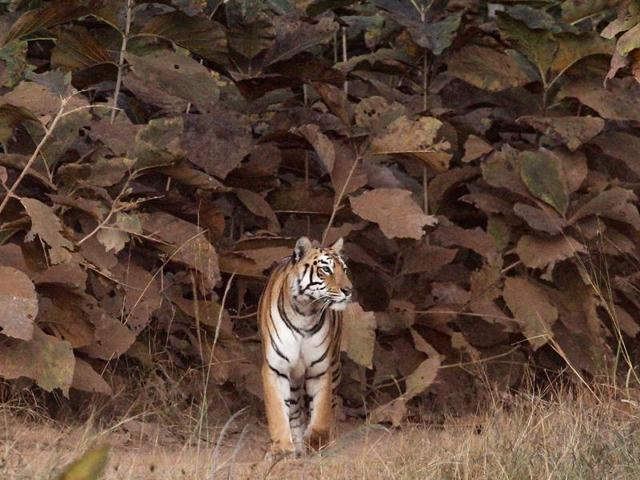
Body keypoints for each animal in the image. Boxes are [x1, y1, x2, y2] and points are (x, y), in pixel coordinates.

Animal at [259, 236, 352, 458]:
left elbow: (321, 412)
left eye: (344, 269)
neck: (304, 312)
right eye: (326, 269)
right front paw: (282, 448)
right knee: (293, 411)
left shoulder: (320, 370)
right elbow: (278, 412)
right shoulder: (275, 369)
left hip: (335, 366)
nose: (349, 290)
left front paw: (316, 442)